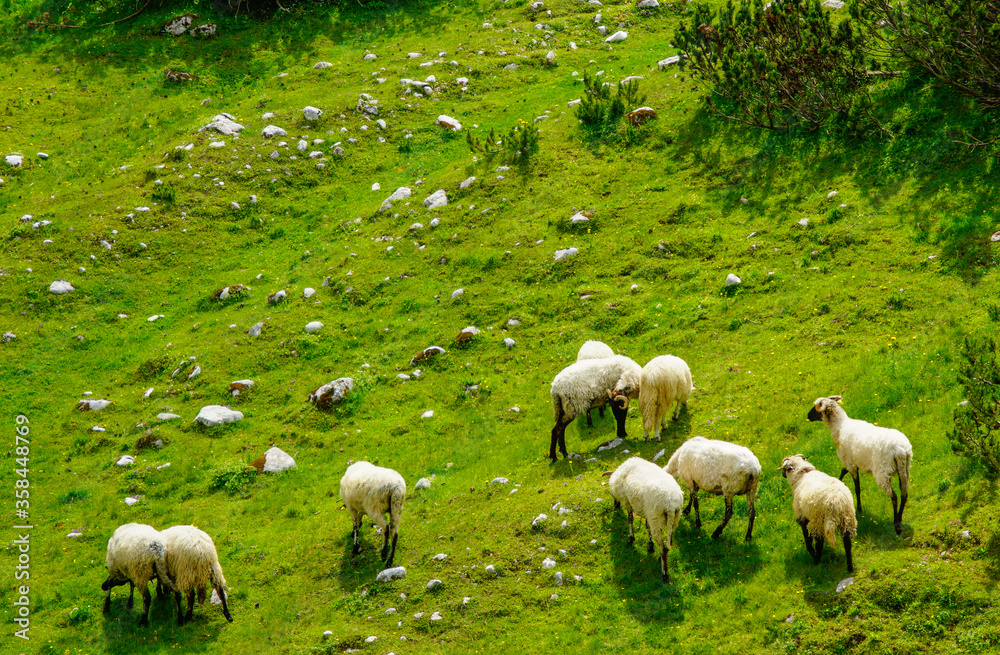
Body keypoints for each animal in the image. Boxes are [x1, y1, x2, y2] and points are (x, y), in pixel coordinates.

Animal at [808, 395, 913, 535]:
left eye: (817, 407)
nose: (808, 416)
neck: (840, 426)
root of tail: (901, 450)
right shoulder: (851, 461)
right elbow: (843, 471)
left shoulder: (851, 464)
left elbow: (857, 488)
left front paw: (859, 509)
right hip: (904, 468)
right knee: (904, 493)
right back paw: (900, 517)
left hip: (883, 472)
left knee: (894, 496)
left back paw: (896, 524)